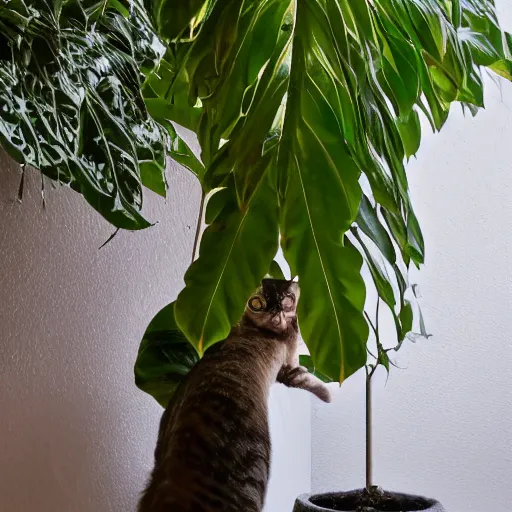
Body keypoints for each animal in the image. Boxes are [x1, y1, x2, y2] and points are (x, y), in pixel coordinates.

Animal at [139, 280, 332, 512]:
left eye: (286, 299)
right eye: (257, 302)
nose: (274, 310)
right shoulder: (289, 369)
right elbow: (311, 380)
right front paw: (330, 395)